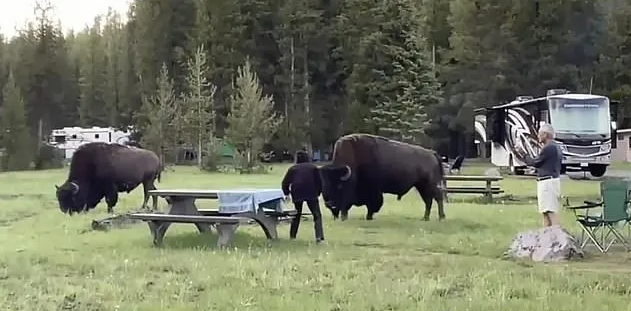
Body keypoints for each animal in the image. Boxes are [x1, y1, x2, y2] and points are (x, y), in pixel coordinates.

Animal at [318, 134, 446, 222]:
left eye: (339, 185)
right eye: (324, 185)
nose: (329, 204)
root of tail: (432, 153)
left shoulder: (372, 191)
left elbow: (372, 204)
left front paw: (368, 217)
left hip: (430, 184)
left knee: (438, 197)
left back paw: (441, 217)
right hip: (421, 186)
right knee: (428, 200)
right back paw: (425, 218)